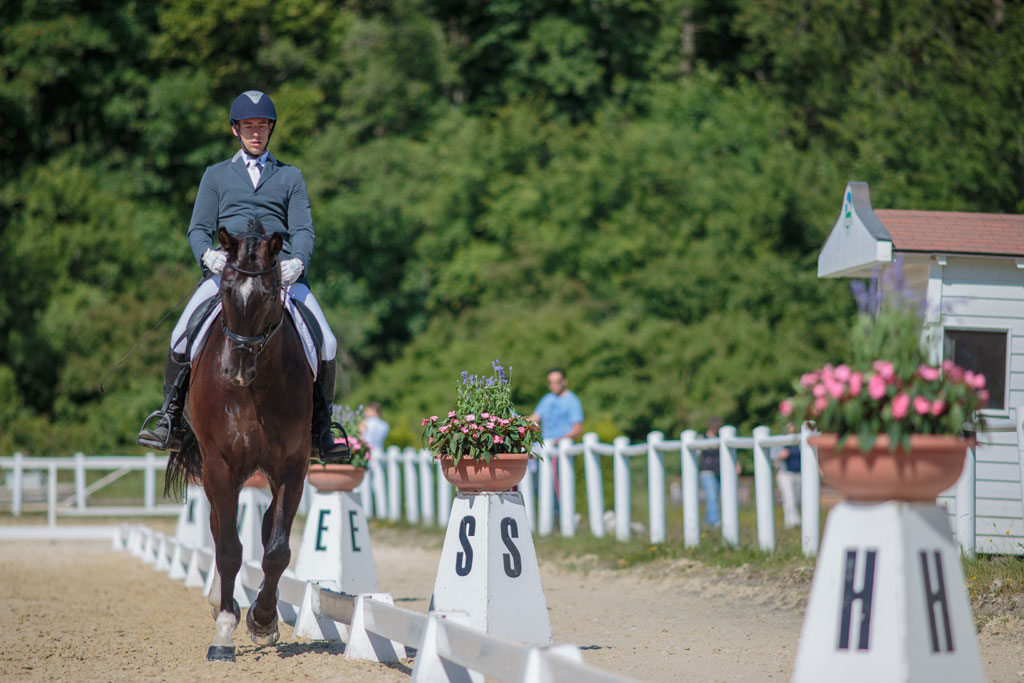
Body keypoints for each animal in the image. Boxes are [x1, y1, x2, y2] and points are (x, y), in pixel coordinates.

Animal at [169, 222, 311, 659]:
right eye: (227, 290)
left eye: (268, 295)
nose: (236, 368)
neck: (256, 390)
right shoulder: (220, 466)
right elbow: (230, 549)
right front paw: (225, 630)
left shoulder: (292, 467)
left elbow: (278, 550)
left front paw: (263, 621)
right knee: (219, 530)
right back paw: (221, 603)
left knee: (264, 531)